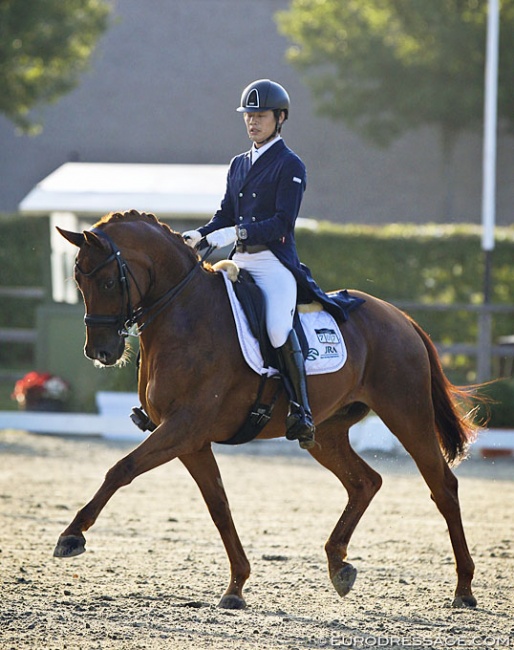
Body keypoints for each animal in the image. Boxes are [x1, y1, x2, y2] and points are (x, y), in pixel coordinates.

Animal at [53, 208, 476, 608]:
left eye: (108, 282)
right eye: (77, 281)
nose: (100, 352)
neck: (185, 314)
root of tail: (401, 318)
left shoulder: (184, 427)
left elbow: (121, 469)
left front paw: (72, 536)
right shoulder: (190, 440)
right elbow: (219, 506)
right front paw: (236, 586)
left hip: (407, 413)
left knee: (443, 487)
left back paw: (463, 589)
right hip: (326, 432)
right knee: (365, 482)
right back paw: (338, 565)